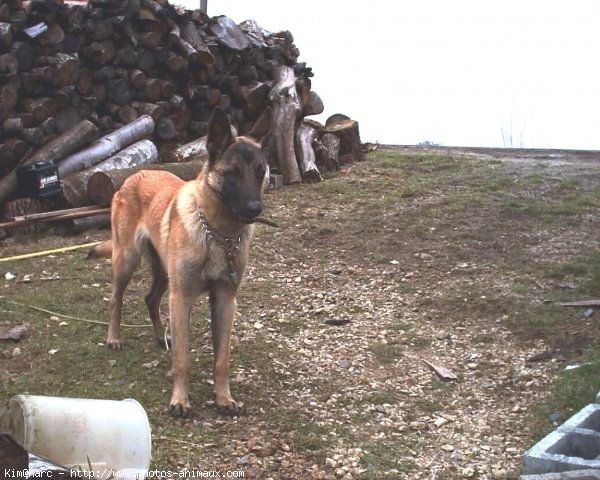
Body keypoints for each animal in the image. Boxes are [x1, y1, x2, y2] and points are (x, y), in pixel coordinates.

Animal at [89, 109, 272, 416]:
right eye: (232, 173)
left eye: (260, 172)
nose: (254, 209)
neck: (217, 234)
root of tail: (135, 173)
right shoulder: (182, 296)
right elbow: (182, 359)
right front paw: (179, 401)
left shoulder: (225, 300)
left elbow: (221, 359)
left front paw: (224, 398)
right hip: (127, 260)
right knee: (116, 298)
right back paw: (114, 338)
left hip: (164, 273)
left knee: (150, 299)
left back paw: (162, 336)